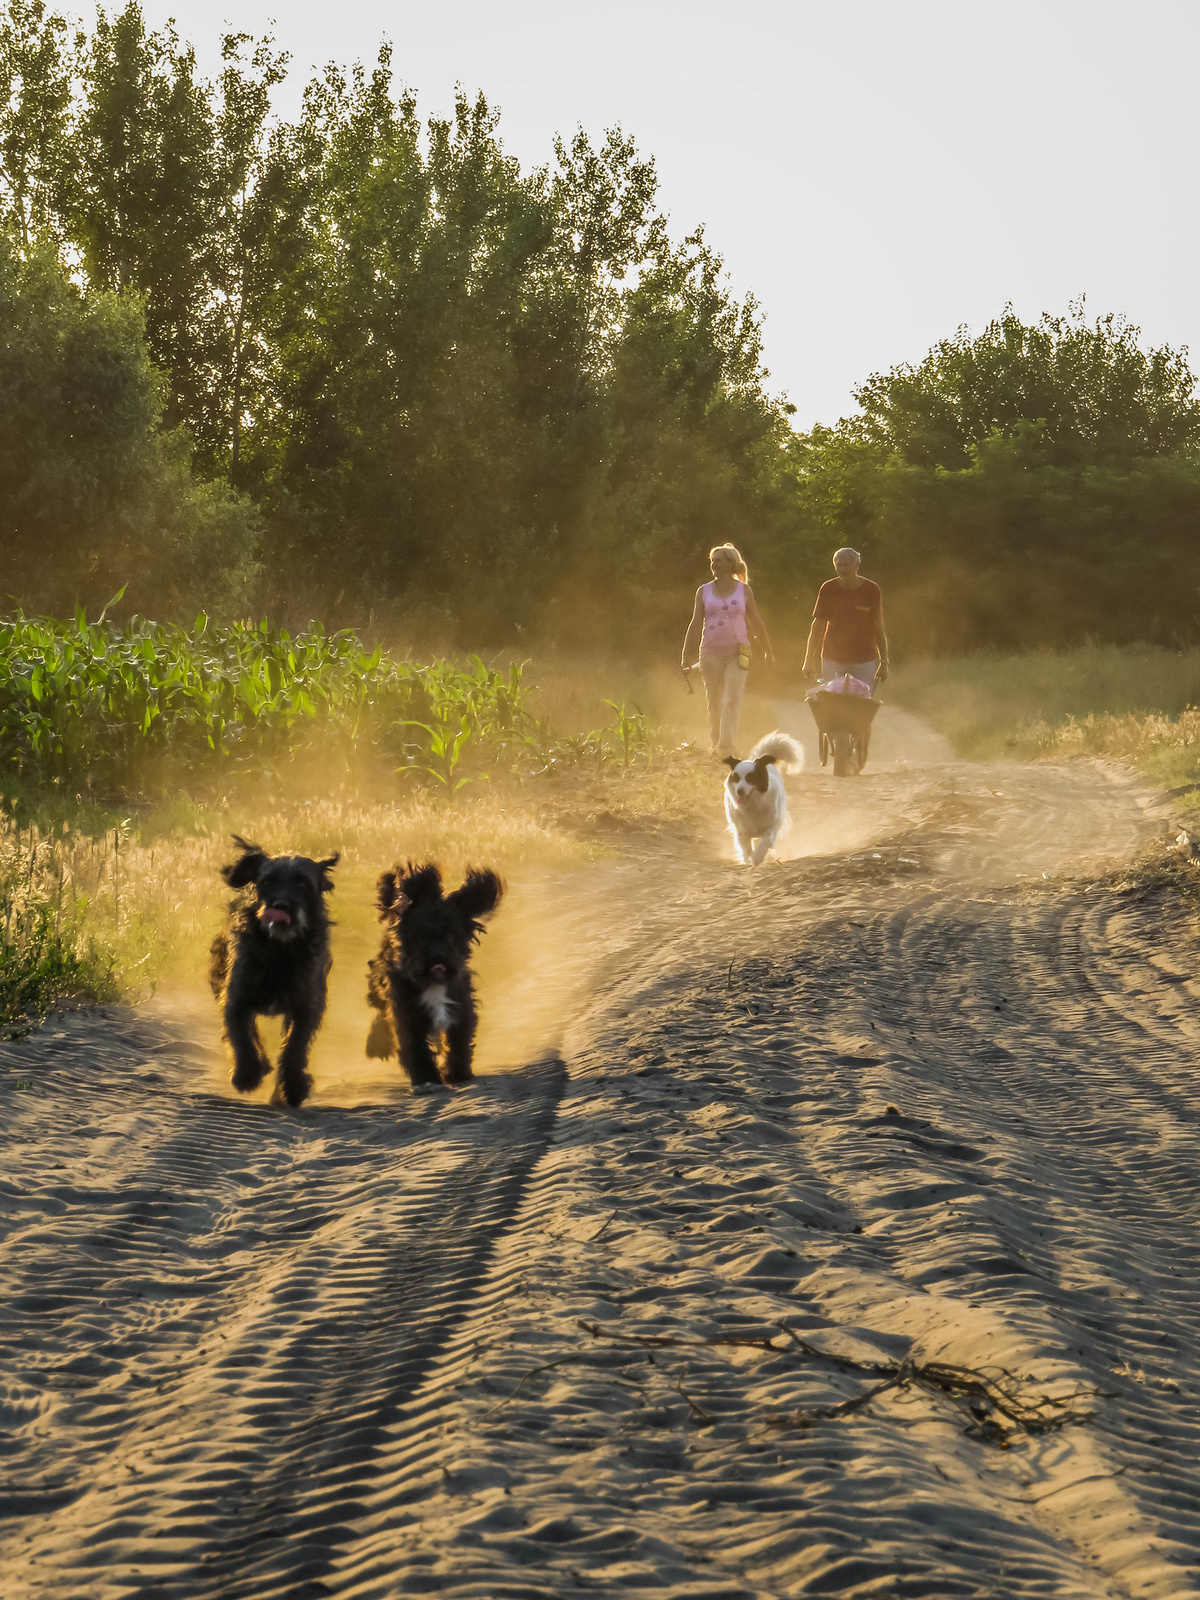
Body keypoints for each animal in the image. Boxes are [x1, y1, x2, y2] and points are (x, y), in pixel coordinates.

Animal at [209, 838, 340, 1113]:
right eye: (267, 881)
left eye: (303, 883)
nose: (280, 907)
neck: (279, 949)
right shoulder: (236, 999)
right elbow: (241, 1037)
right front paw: (246, 1074)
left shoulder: (306, 1007)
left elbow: (294, 1048)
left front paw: (293, 1088)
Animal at [361, 864, 502, 1088]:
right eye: (419, 936)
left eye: (452, 935)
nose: (437, 955)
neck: (434, 983)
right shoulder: (407, 1013)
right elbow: (416, 1048)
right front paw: (427, 1079)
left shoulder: (460, 1008)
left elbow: (458, 1044)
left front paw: (458, 1074)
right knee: (380, 1014)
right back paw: (375, 1044)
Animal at [723, 732, 809, 870]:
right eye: (736, 778)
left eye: (751, 777)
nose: (740, 791)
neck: (752, 805)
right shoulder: (741, 830)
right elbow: (746, 847)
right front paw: (748, 859)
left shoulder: (771, 827)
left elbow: (765, 842)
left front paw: (757, 858)